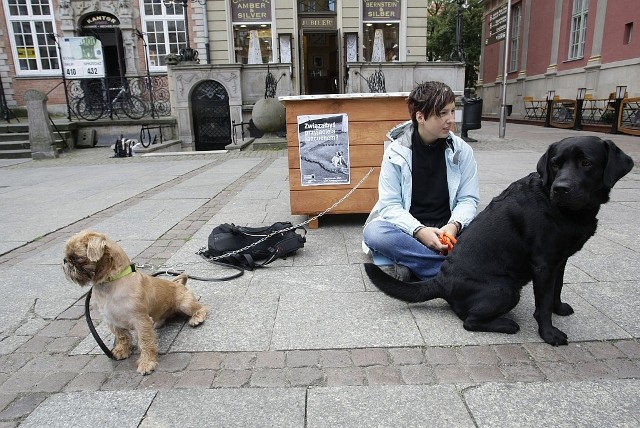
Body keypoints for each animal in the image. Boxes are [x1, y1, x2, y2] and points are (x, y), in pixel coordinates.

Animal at [62, 231, 208, 374]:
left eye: (76, 257)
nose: (65, 260)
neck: (111, 282)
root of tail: (179, 284)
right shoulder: (112, 320)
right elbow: (122, 336)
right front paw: (122, 349)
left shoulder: (140, 321)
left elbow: (145, 341)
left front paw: (147, 362)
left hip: (185, 304)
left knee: (201, 308)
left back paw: (197, 318)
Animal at [364, 135, 636, 346]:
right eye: (555, 164)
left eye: (586, 163)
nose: (561, 188)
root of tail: (441, 280)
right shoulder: (544, 264)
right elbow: (543, 304)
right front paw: (548, 334)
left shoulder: (560, 260)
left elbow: (556, 289)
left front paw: (559, 308)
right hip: (506, 289)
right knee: (469, 321)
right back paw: (507, 324)